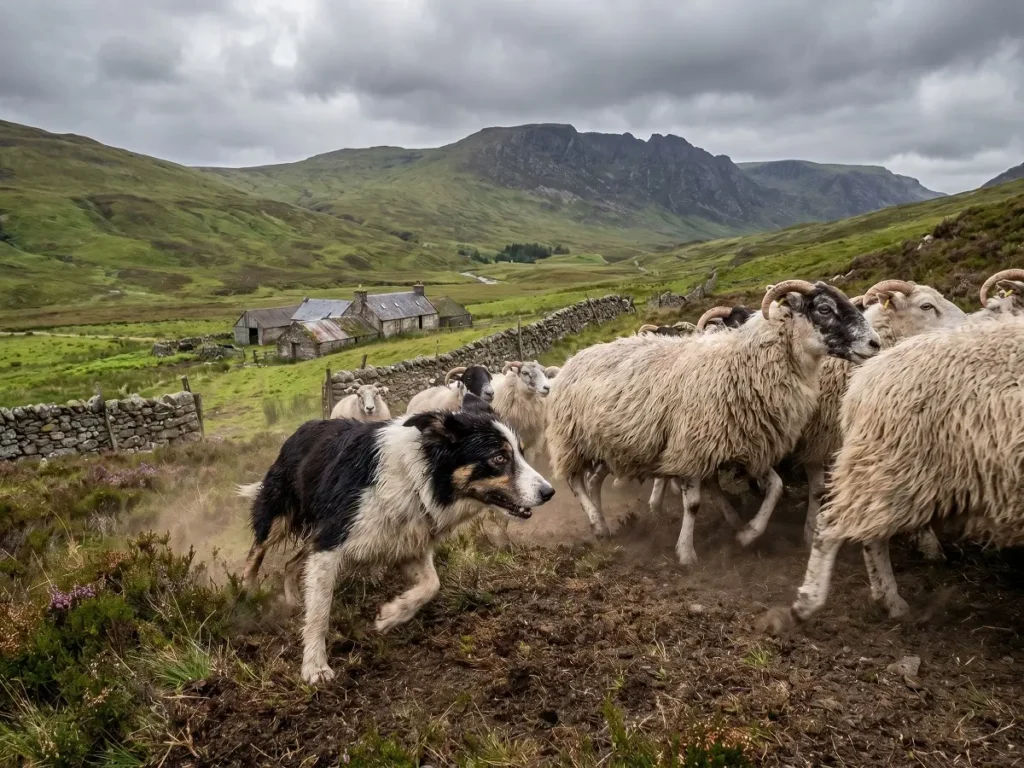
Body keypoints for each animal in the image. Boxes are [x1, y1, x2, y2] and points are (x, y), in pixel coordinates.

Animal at [546, 281, 880, 564]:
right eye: (824, 309)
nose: (875, 343)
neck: (745, 363)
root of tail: (574, 358)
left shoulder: (749, 442)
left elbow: (775, 487)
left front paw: (746, 534)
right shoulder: (691, 447)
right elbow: (693, 504)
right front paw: (686, 553)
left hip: (609, 445)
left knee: (593, 481)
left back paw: (601, 521)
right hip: (571, 440)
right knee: (575, 481)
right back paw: (597, 524)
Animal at [772, 316, 1024, 628]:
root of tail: (864, 379)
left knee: (869, 532)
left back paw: (888, 599)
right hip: (896, 465)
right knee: (832, 526)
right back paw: (808, 603)